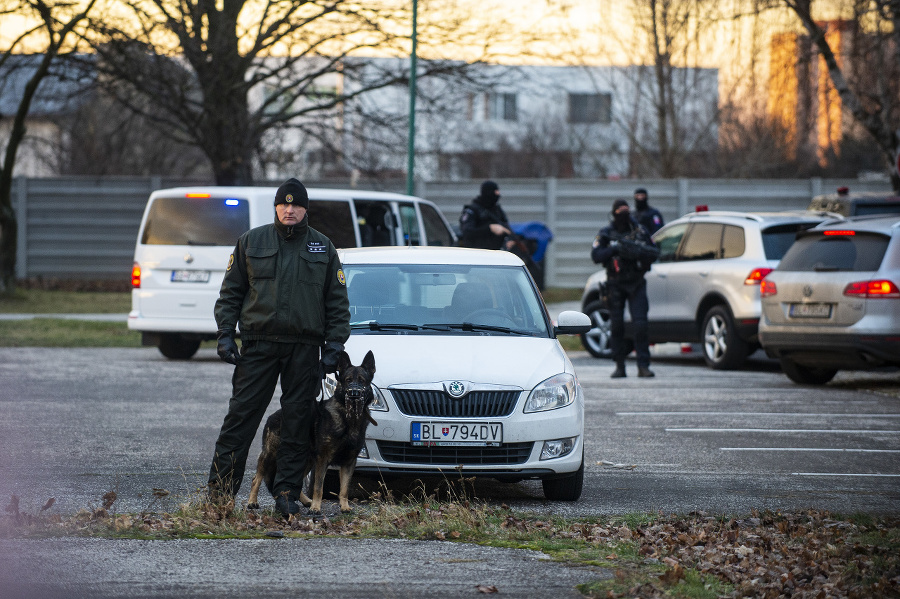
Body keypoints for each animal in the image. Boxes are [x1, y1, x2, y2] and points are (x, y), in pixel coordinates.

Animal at [246, 352, 376, 516]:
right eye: (348, 380)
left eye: (362, 381)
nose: (354, 394)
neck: (348, 419)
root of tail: (274, 415)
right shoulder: (323, 460)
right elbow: (318, 487)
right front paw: (316, 508)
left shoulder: (349, 462)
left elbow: (344, 489)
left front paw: (344, 506)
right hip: (271, 455)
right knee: (256, 479)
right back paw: (252, 501)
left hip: (306, 461)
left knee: (296, 482)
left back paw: (303, 501)